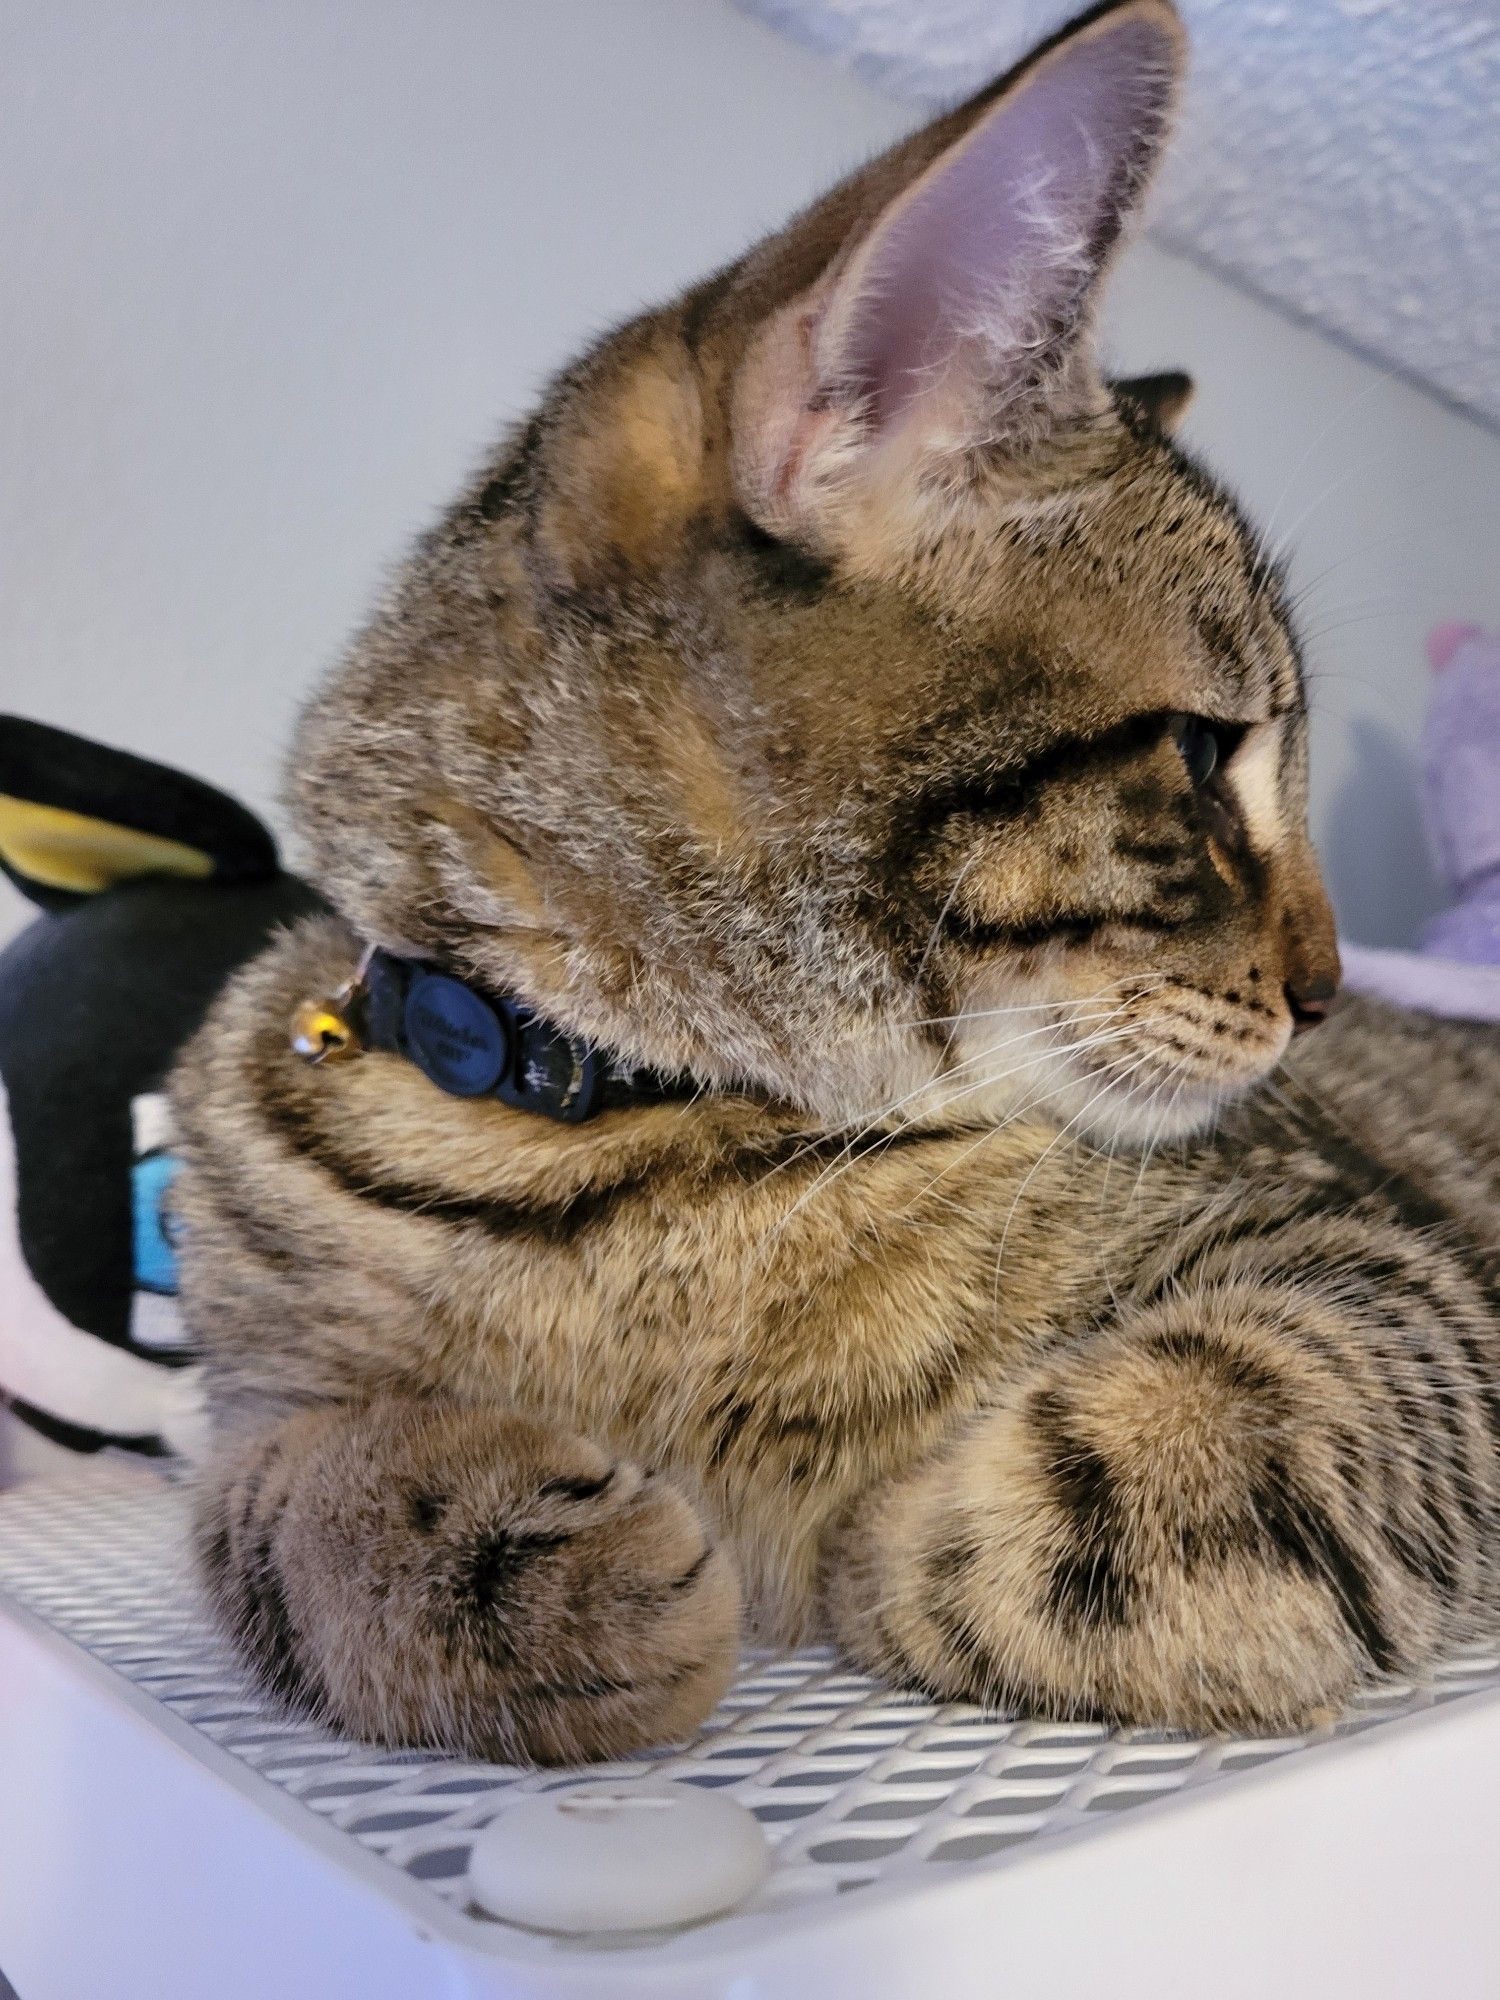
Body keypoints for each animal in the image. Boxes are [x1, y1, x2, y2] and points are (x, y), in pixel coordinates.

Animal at [176, 0, 1500, 1760]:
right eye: (1206, 755)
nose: (1333, 990)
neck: (611, 1149)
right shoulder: (236, 1409)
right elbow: (281, 1511)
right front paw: (492, 1556)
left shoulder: (1390, 1257)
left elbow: (1222, 1423)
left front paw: (912, 1531)